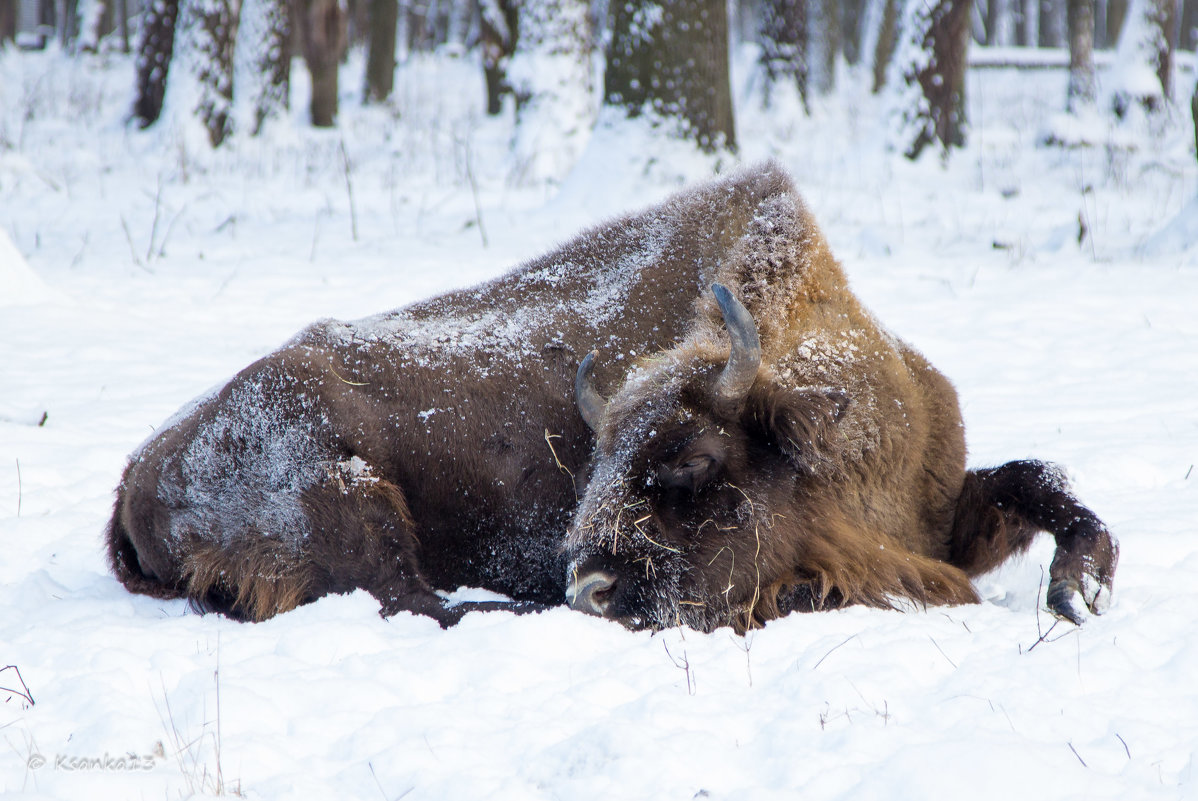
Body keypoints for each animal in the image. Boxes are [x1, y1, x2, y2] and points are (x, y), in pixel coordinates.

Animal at [107, 164, 1116, 632]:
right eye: (593, 470)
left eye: (692, 460)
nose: (588, 586)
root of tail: (139, 472)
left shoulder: (946, 507)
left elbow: (1039, 483)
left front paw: (1080, 590)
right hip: (347, 491)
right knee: (417, 598)